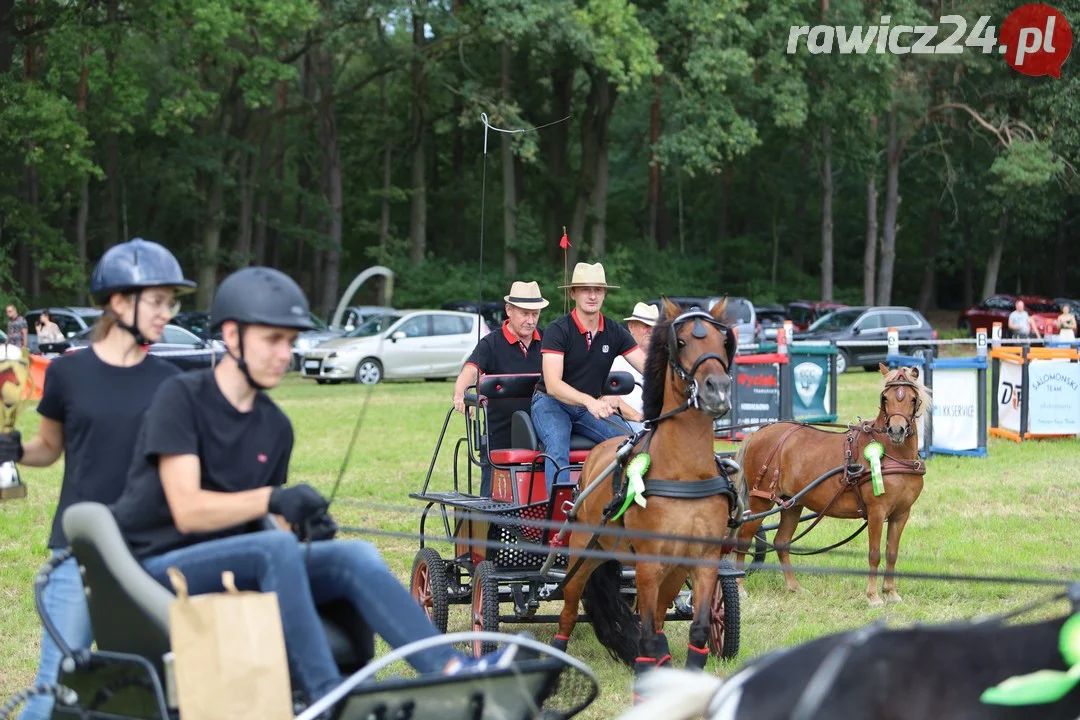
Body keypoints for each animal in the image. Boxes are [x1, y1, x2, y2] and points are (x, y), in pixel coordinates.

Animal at [548, 297, 743, 677]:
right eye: (680, 342)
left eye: (723, 341)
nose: (717, 389)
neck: (684, 472)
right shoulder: (649, 564)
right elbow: (648, 633)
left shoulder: (703, 559)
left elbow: (696, 628)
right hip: (583, 551)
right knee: (569, 609)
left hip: (670, 570)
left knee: (657, 617)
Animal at [725, 362, 928, 604]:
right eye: (885, 398)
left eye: (913, 399)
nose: (896, 431)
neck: (892, 453)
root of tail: (758, 433)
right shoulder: (876, 511)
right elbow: (874, 553)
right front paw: (873, 596)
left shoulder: (901, 513)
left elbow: (891, 553)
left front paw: (891, 592)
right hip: (761, 500)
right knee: (744, 538)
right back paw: (739, 586)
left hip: (792, 503)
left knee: (782, 541)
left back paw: (794, 587)